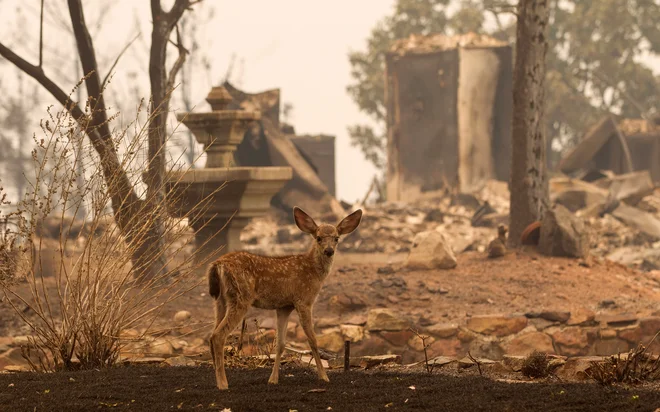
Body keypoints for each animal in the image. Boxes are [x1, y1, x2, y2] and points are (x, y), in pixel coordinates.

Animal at [206, 206, 364, 390]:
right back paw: (223, 383)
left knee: (212, 334)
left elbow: (280, 344)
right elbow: (312, 340)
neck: (313, 270)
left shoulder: (284, 306)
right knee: (218, 336)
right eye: (318, 238)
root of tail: (218, 265)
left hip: (220, 300)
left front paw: (273, 379)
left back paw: (217, 379)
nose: (329, 251)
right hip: (240, 296)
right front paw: (324, 377)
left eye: (336, 238)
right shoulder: (304, 300)